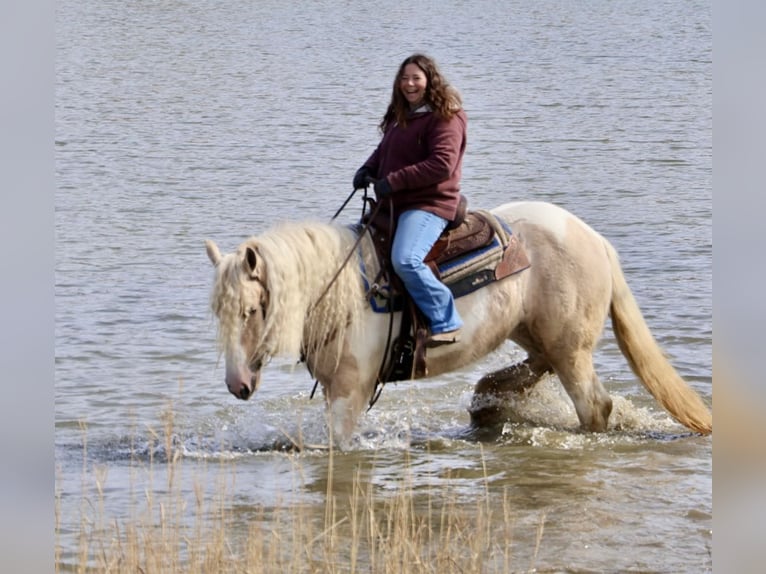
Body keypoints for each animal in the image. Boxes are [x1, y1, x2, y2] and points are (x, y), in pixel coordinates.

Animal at [205, 201, 712, 447]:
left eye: (251, 311)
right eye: (220, 314)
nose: (237, 385)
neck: (342, 289)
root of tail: (595, 239)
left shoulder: (350, 390)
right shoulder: (335, 388)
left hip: (573, 352)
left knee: (594, 407)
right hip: (539, 336)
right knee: (531, 368)